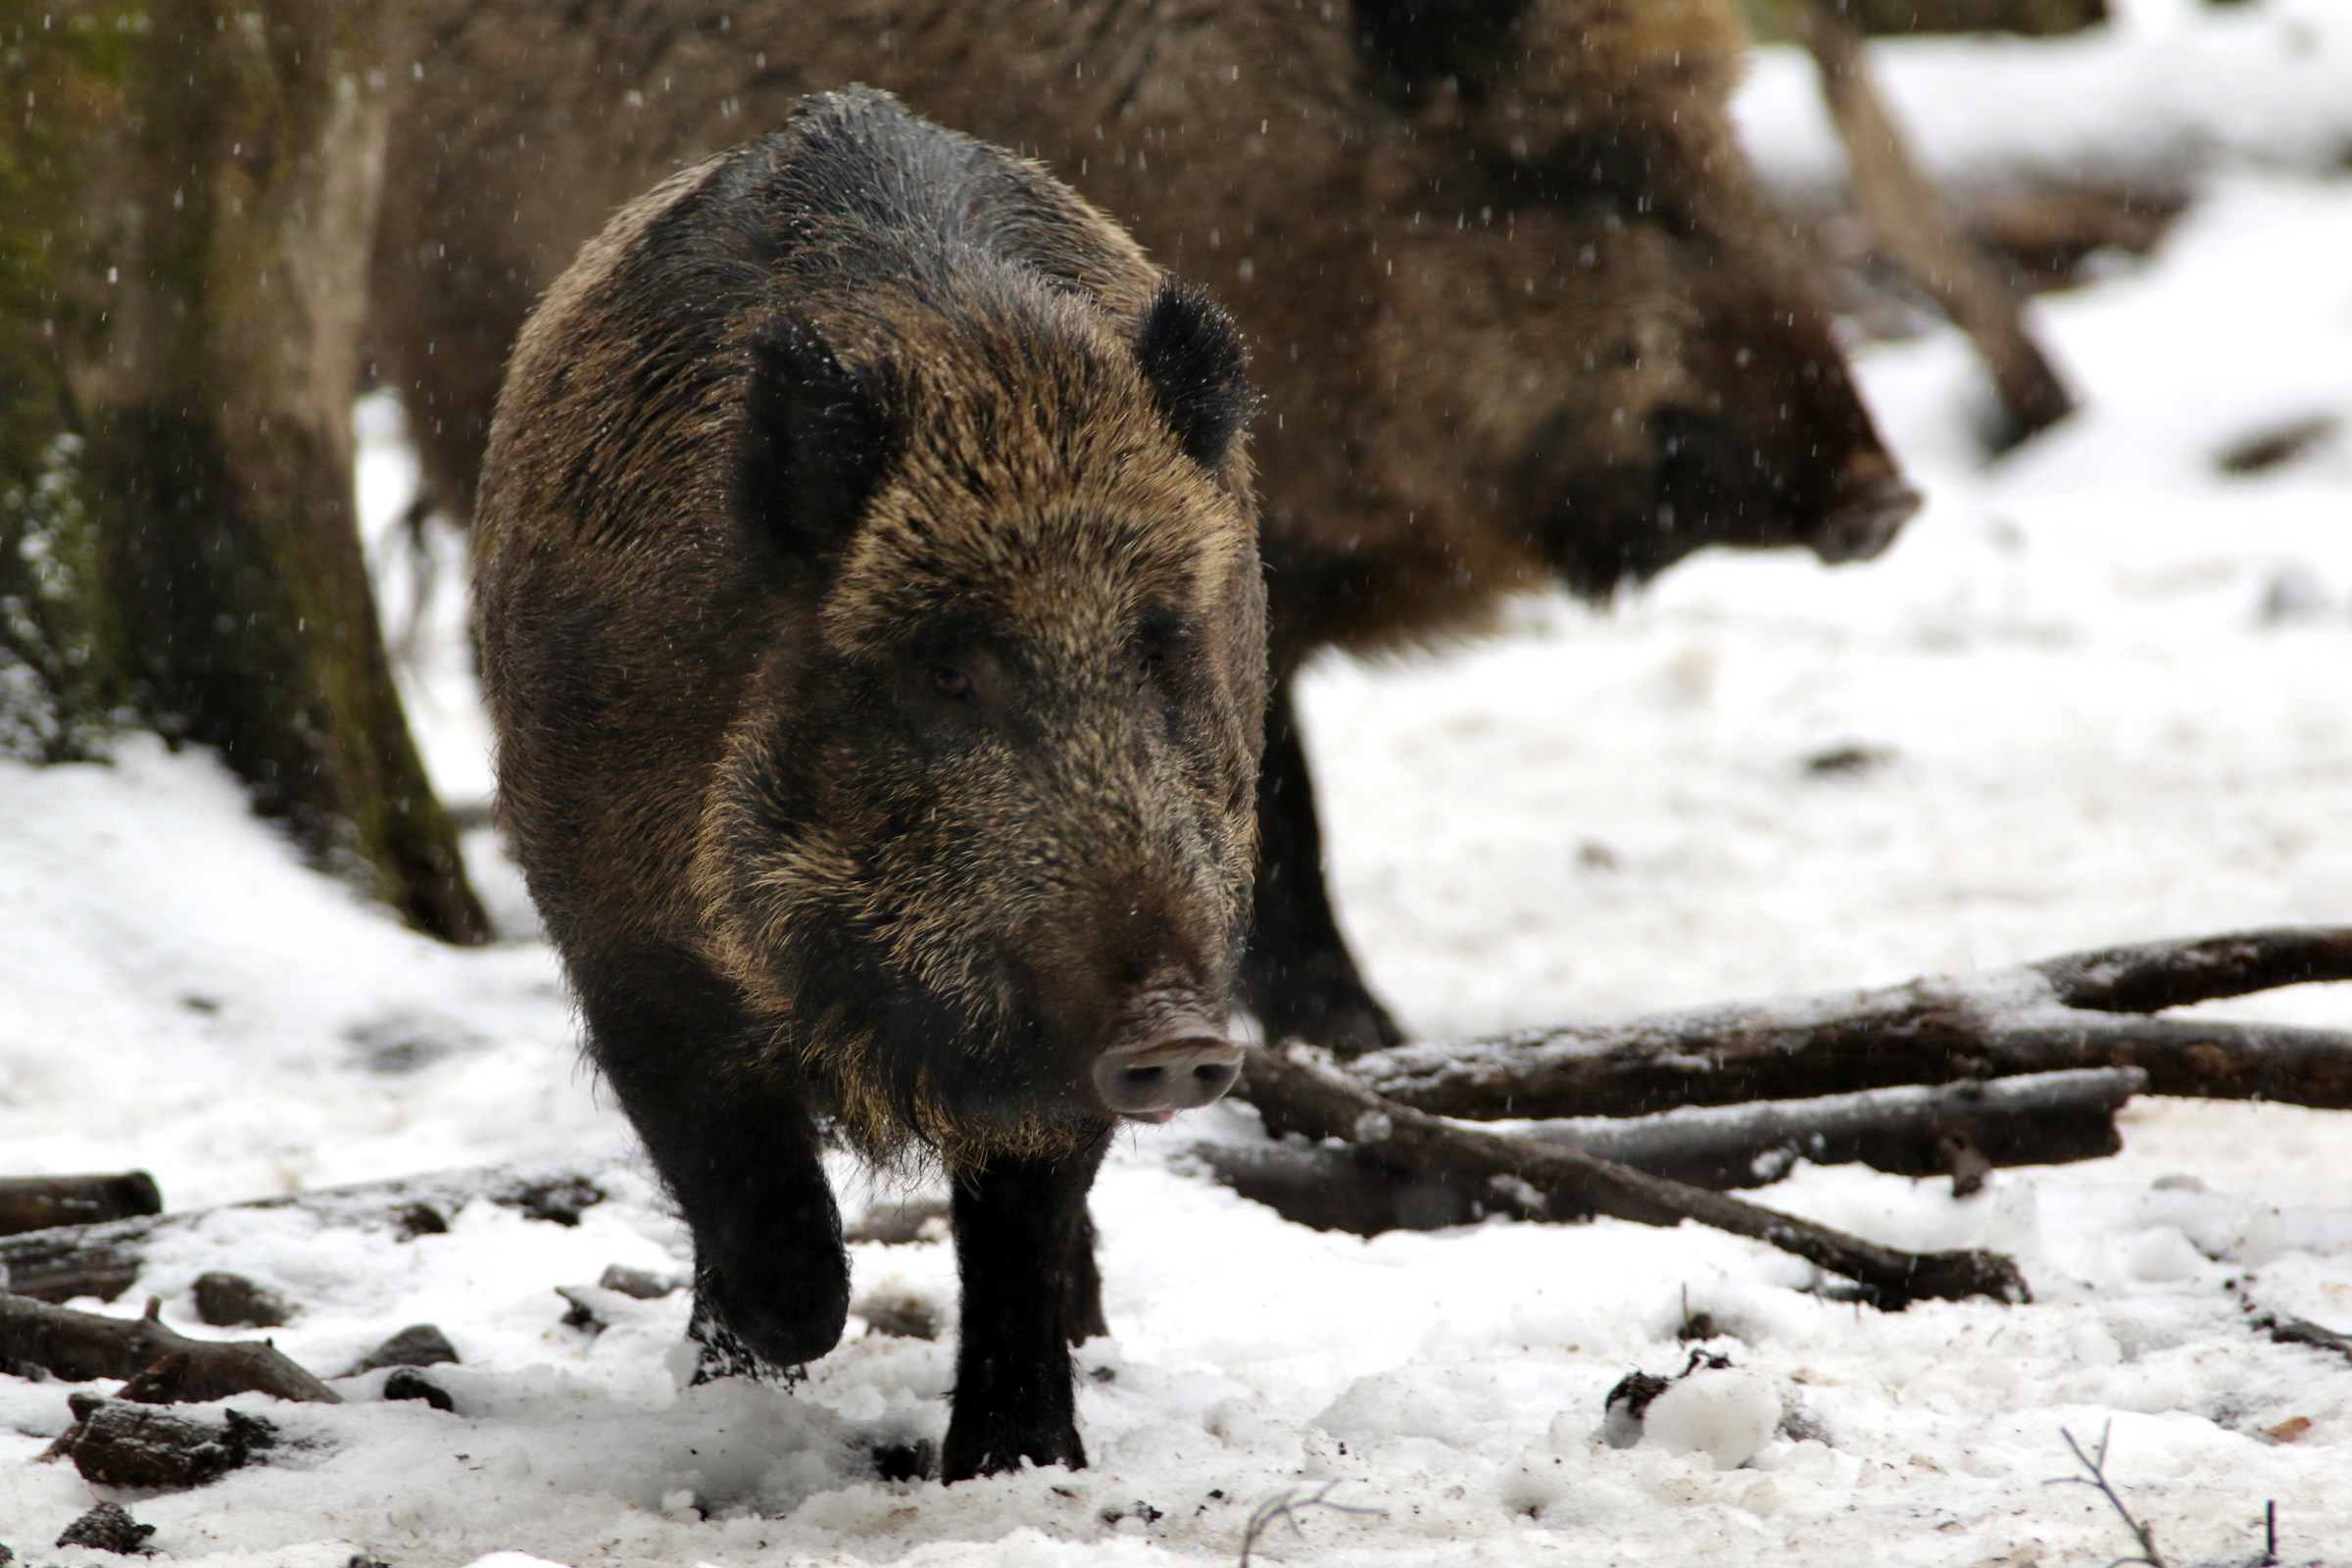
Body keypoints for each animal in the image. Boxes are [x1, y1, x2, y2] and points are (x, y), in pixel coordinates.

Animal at [471, 88, 1267, 1480]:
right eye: (946, 669)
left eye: (1163, 645)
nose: (1177, 1032)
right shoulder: (626, 950)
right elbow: (766, 1223)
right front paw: (753, 1372)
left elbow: (1021, 1218)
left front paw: (1020, 1466)